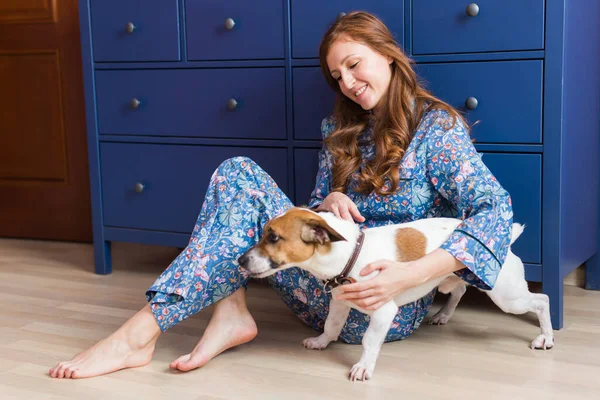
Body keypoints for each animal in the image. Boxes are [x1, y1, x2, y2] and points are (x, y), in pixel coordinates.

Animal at [237, 208, 556, 380]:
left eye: (273, 237)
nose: (240, 260)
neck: (352, 253)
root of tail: (506, 241)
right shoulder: (340, 302)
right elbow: (331, 326)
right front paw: (321, 341)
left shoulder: (382, 312)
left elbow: (369, 341)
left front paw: (363, 367)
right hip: (456, 280)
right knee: (459, 289)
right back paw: (443, 314)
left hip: (508, 297)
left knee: (542, 301)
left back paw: (546, 337)